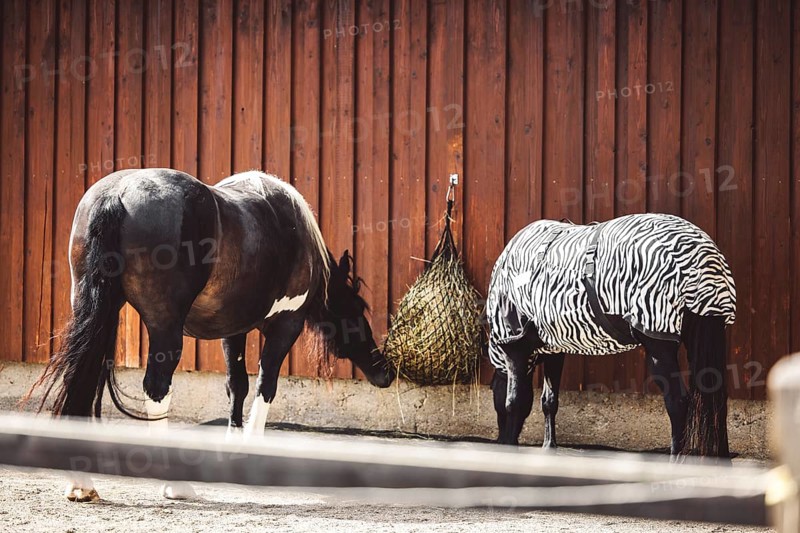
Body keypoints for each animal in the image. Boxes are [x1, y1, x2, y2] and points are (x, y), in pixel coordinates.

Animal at [28, 168, 396, 501]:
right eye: (358, 311)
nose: (386, 373)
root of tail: (116, 196)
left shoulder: (232, 329)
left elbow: (237, 385)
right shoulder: (285, 325)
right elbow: (265, 387)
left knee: (82, 379)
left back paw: (81, 483)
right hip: (164, 327)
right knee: (156, 388)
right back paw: (174, 484)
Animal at [486, 213, 736, 458]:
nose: (499, 441)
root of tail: (704, 256)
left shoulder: (514, 348)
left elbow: (515, 402)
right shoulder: (554, 350)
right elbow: (549, 401)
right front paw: (549, 447)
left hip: (659, 345)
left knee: (678, 402)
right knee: (714, 403)